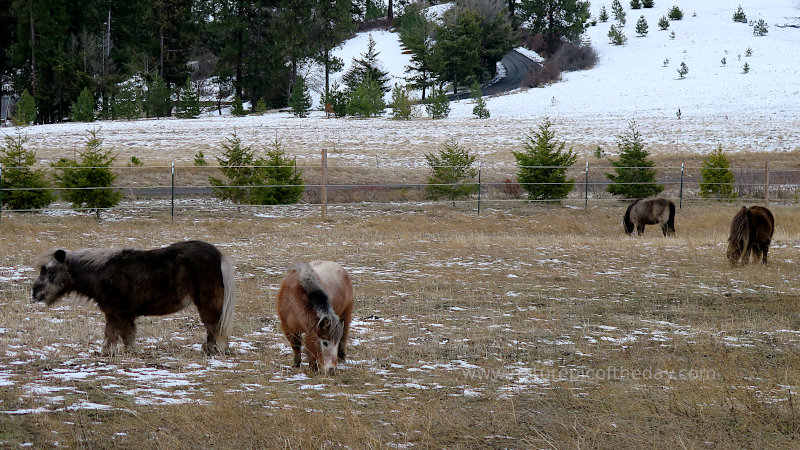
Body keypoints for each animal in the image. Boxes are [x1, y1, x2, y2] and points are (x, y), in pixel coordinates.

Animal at [32, 239, 238, 356]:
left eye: (50, 270)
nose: (35, 293)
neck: (101, 272)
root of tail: (219, 255)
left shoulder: (115, 312)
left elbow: (112, 334)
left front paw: (107, 353)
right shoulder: (123, 315)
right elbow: (126, 335)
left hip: (207, 302)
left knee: (214, 326)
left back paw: (216, 350)